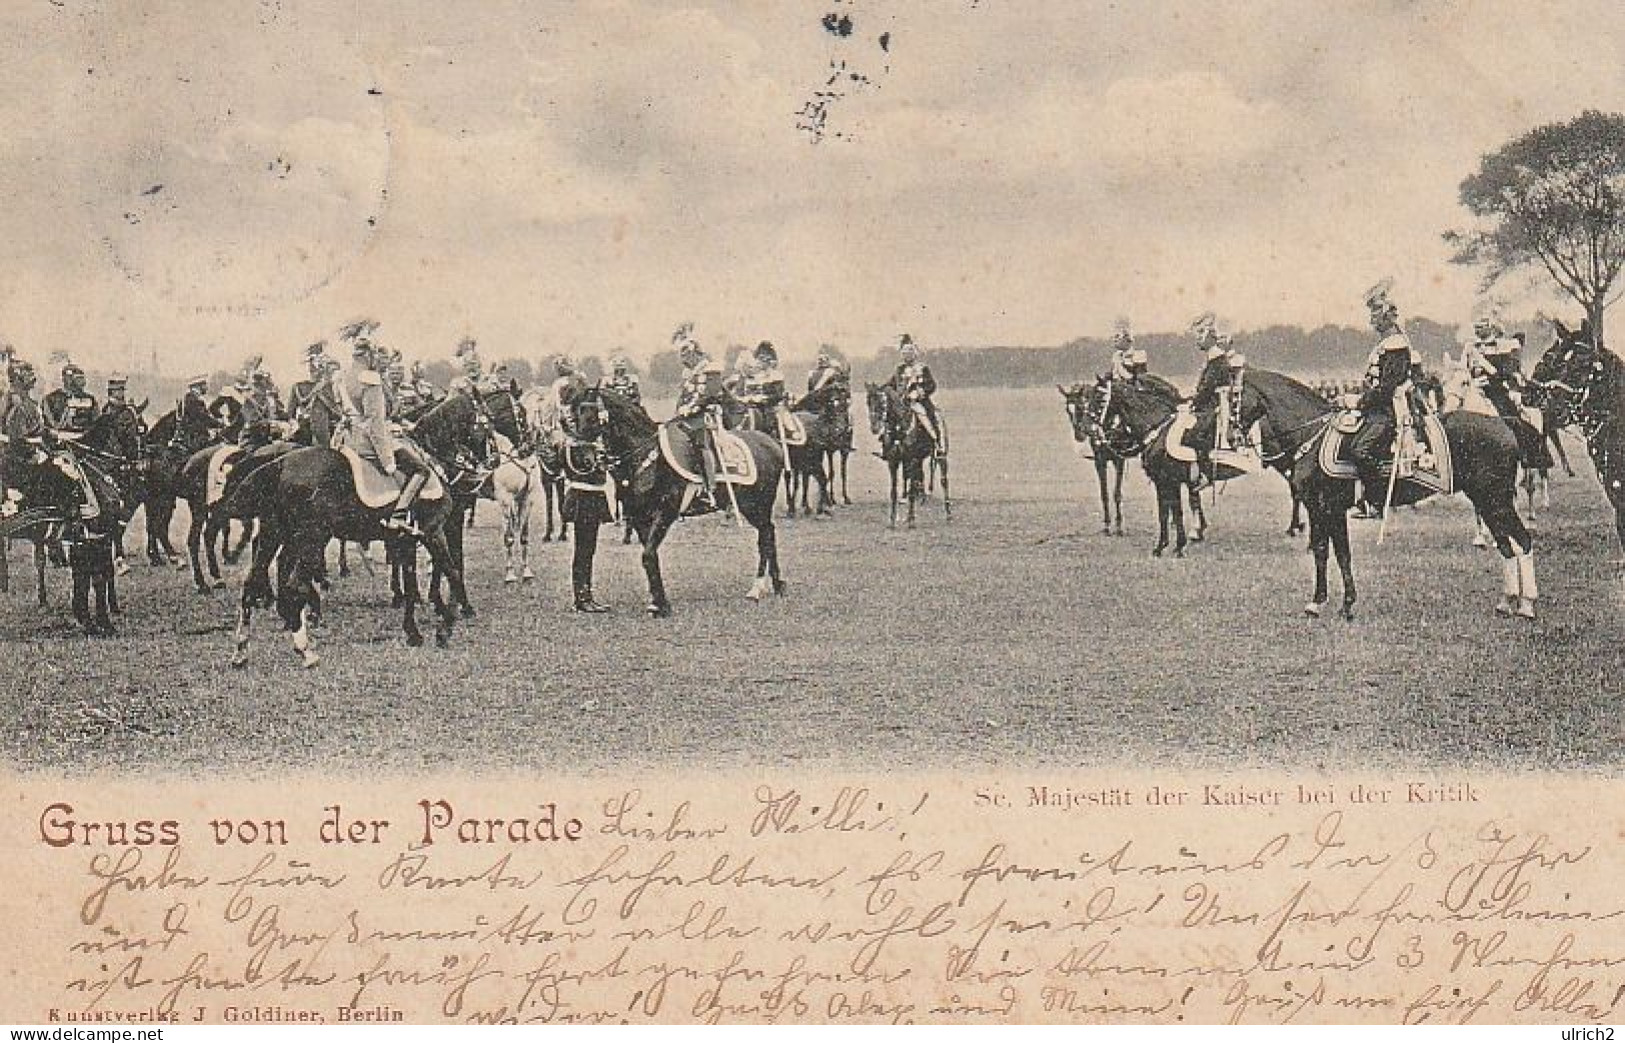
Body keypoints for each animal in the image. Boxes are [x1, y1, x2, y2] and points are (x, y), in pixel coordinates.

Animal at [216, 383, 507, 666]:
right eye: (488, 423)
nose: (492, 461)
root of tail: (279, 463)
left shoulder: (406, 539)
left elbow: (412, 585)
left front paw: (413, 632)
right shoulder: (433, 531)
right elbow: (452, 572)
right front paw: (445, 628)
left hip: (275, 533)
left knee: (252, 583)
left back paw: (241, 650)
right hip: (311, 538)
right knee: (293, 586)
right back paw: (305, 649)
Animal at [864, 381, 949, 526]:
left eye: (882, 402)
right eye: (868, 402)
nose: (874, 428)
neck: (899, 428)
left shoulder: (911, 460)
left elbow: (912, 492)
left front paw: (911, 520)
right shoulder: (893, 462)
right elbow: (894, 491)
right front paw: (892, 520)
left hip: (940, 455)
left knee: (943, 480)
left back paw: (948, 513)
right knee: (917, 477)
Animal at [1228, 365, 1534, 617]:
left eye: (1233, 397)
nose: (1233, 437)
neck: (1312, 437)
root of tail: (1503, 422)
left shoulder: (1326, 508)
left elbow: (1333, 553)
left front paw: (1332, 603)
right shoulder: (1324, 511)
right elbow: (1331, 553)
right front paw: (1331, 602)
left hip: (1497, 500)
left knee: (1523, 540)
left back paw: (1527, 605)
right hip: (1486, 499)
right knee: (1506, 545)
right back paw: (1507, 602)